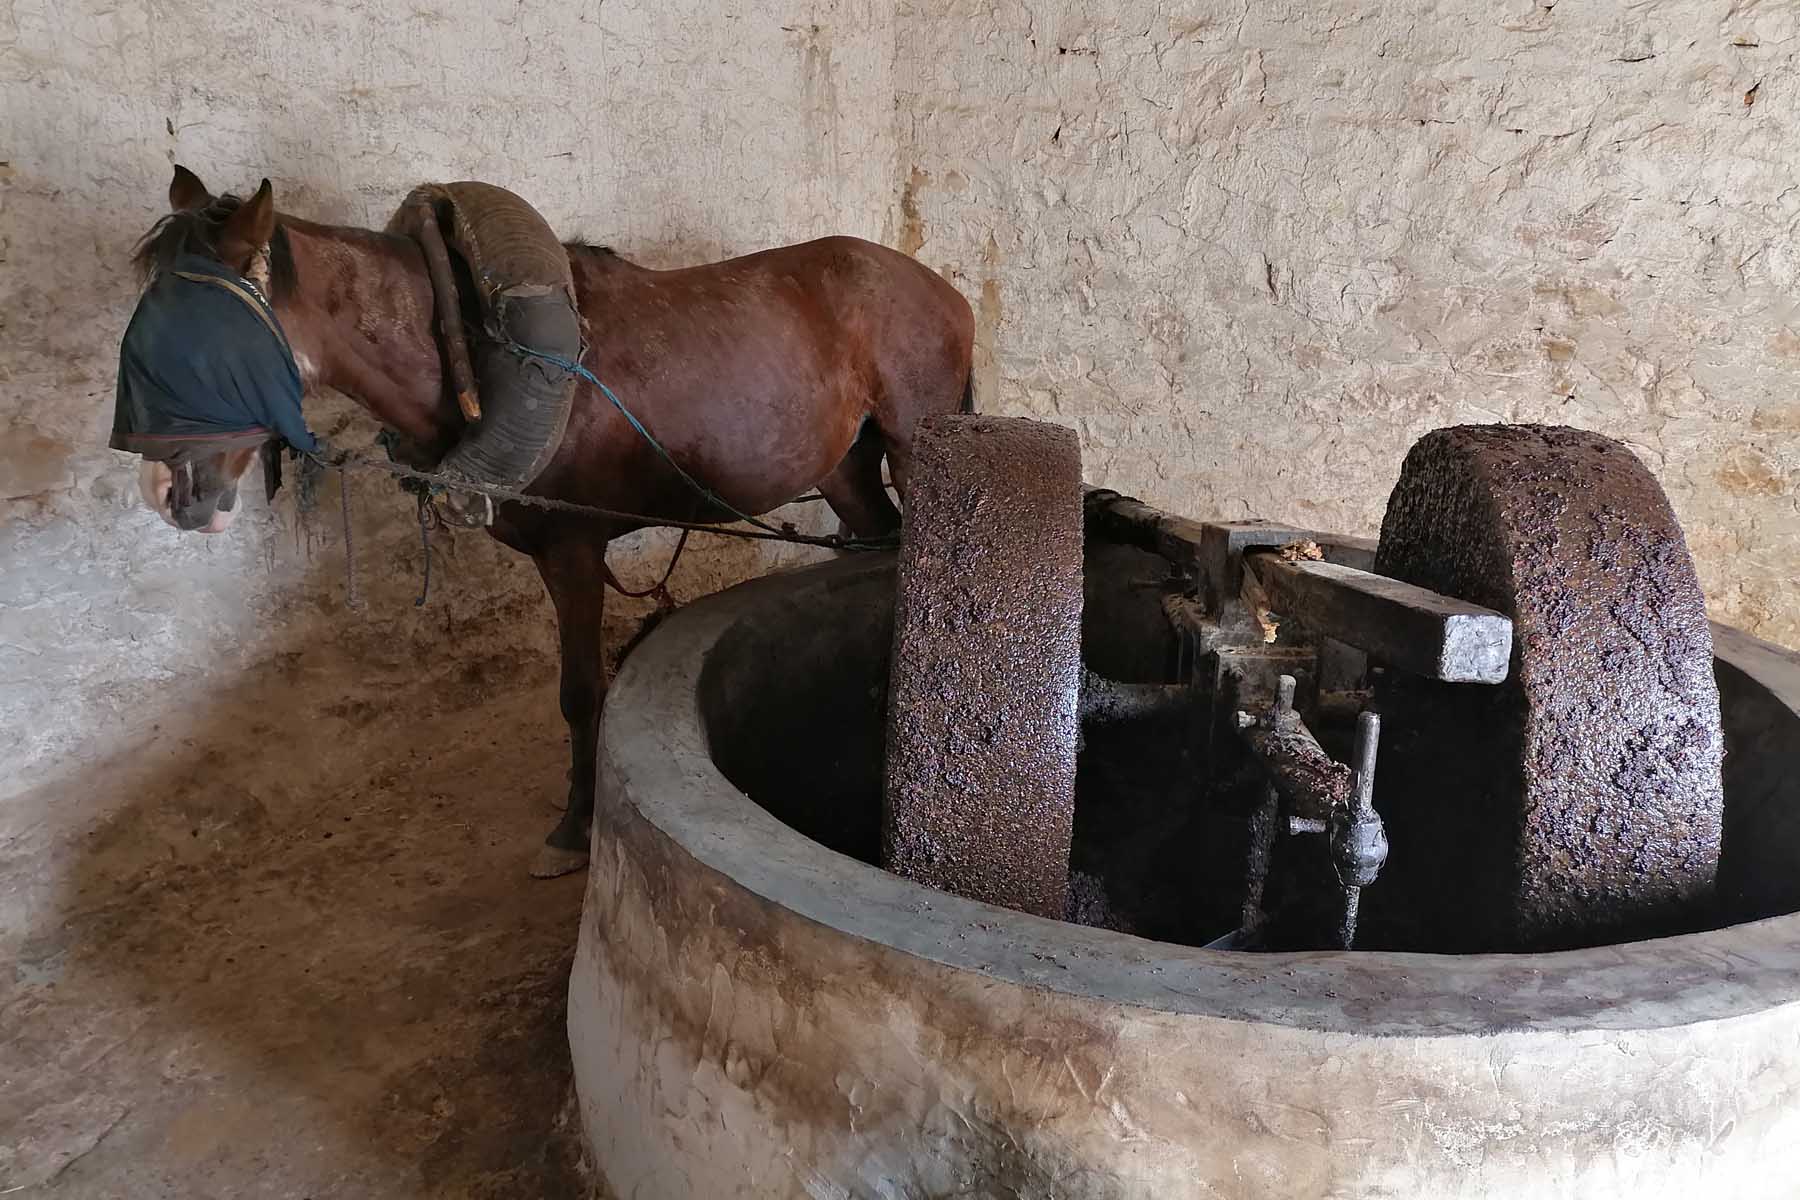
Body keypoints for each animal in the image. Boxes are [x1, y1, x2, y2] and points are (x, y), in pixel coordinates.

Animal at [128, 169, 979, 877]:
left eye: (210, 338)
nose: (172, 487)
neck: (472, 352)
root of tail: (940, 291)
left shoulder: (572, 550)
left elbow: (579, 691)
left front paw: (574, 826)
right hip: (846, 469)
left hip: (917, 454)